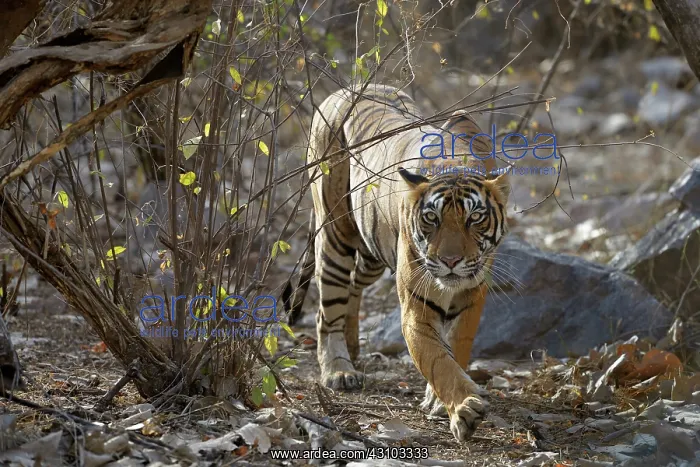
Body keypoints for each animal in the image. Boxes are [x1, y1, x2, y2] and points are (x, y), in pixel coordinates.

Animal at [282, 84, 510, 442]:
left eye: (474, 218)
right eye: (431, 218)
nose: (450, 260)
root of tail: (339, 92)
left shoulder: (473, 295)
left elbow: (456, 347)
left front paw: (438, 400)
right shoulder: (417, 308)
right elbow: (437, 360)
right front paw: (463, 408)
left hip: (372, 253)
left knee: (353, 287)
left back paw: (352, 345)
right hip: (335, 235)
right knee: (326, 311)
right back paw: (338, 370)